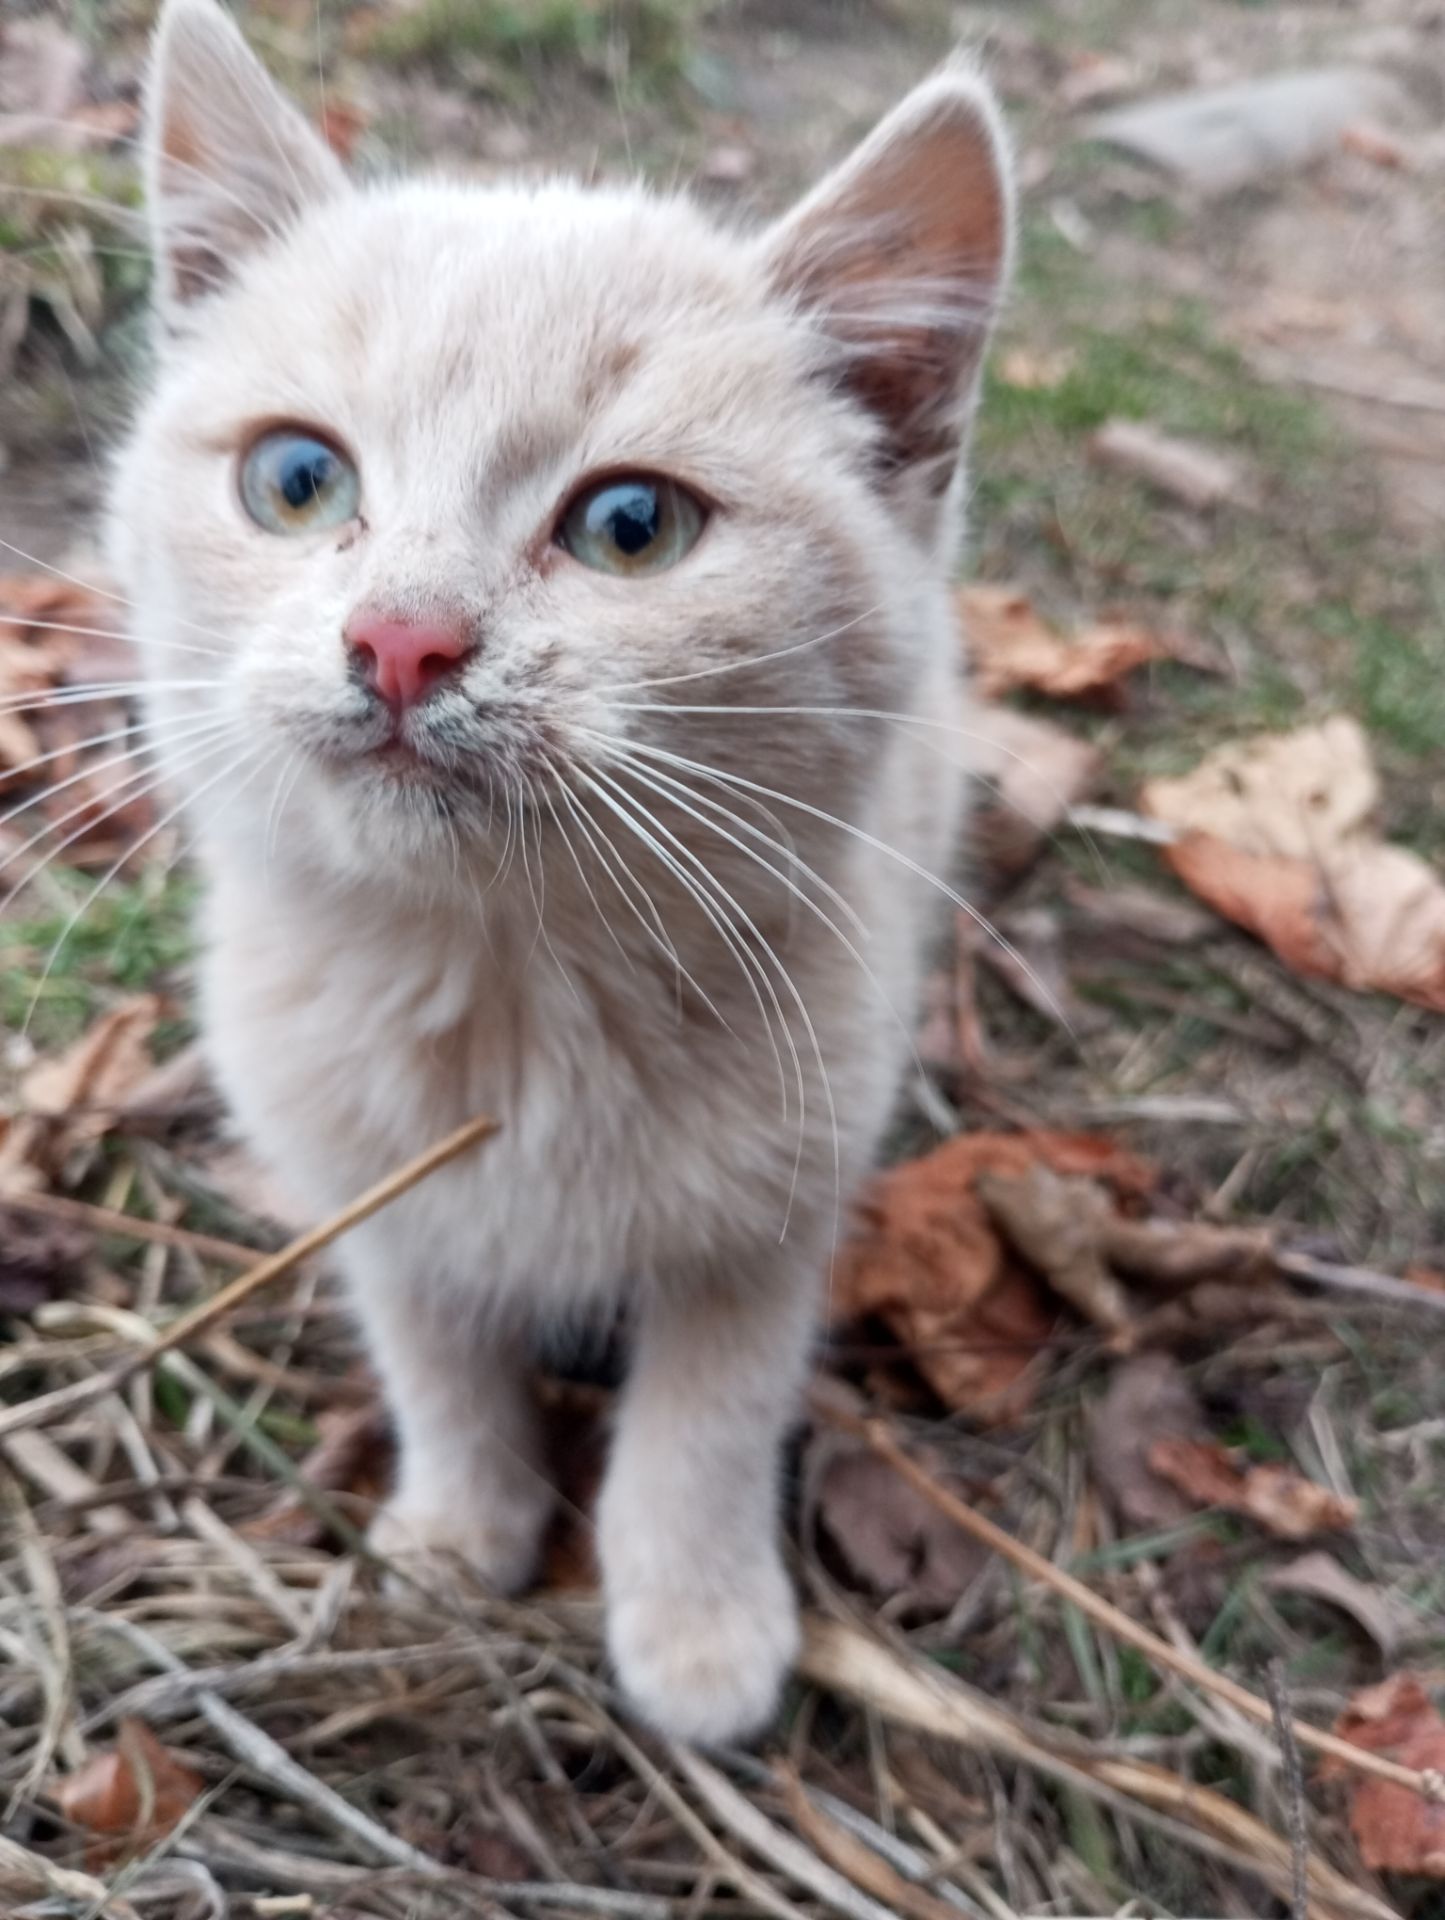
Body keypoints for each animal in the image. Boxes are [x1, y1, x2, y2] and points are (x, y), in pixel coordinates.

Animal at [112, 0, 1005, 1743]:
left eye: (631, 525)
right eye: (297, 482)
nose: (400, 640)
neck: (512, 996)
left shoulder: (775, 1208)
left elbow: (709, 1415)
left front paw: (699, 1624)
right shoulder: (370, 1190)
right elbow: (439, 1363)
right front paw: (459, 1532)